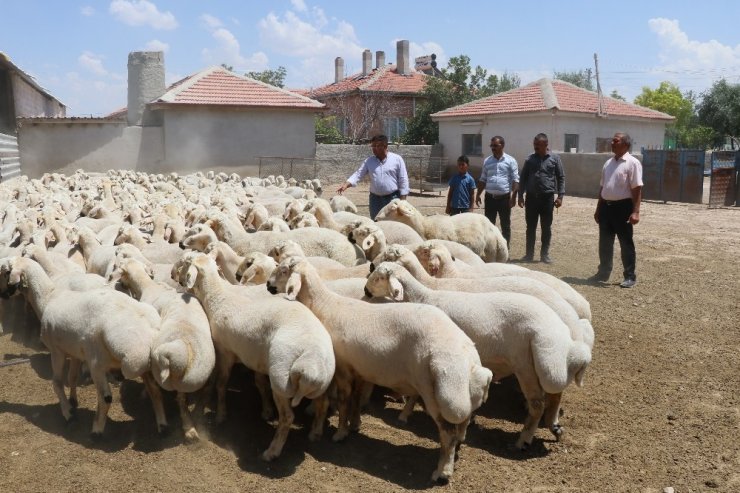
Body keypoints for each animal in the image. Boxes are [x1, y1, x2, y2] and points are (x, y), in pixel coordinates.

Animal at [266, 258, 492, 484]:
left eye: (284, 270)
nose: (268, 285)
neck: (324, 306)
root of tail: (468, 354)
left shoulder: (343, 369)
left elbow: (344, 401)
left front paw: (340, 433)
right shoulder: (360, 369)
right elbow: (356, 399)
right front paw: (354, 424)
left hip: (436, 391)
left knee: (447, 432)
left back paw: (443, 471)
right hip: (461, 389)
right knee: (462, 423)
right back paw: (456, 450)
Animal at [362, 264, 592, 448]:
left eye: (378, 277)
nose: (365, 290)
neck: (424, 297)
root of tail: (554, 326)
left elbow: (418, 392)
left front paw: (405, 413)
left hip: (526, 365)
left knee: (538, 403)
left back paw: (523, 440)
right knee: (555, 394)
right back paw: (554, 426)